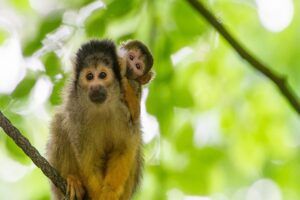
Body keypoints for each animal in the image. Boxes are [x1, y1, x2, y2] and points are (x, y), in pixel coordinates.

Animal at [47, 39, 143, 200]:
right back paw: (72, 179)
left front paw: (109, 192)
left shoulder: (127, 111)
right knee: (60, 123)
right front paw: (97, 193)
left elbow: (124, 148)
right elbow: (88, 157)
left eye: (102, 75)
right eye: (90, 76)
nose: (95, 86)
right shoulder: (76, 114)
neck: (101, 108)